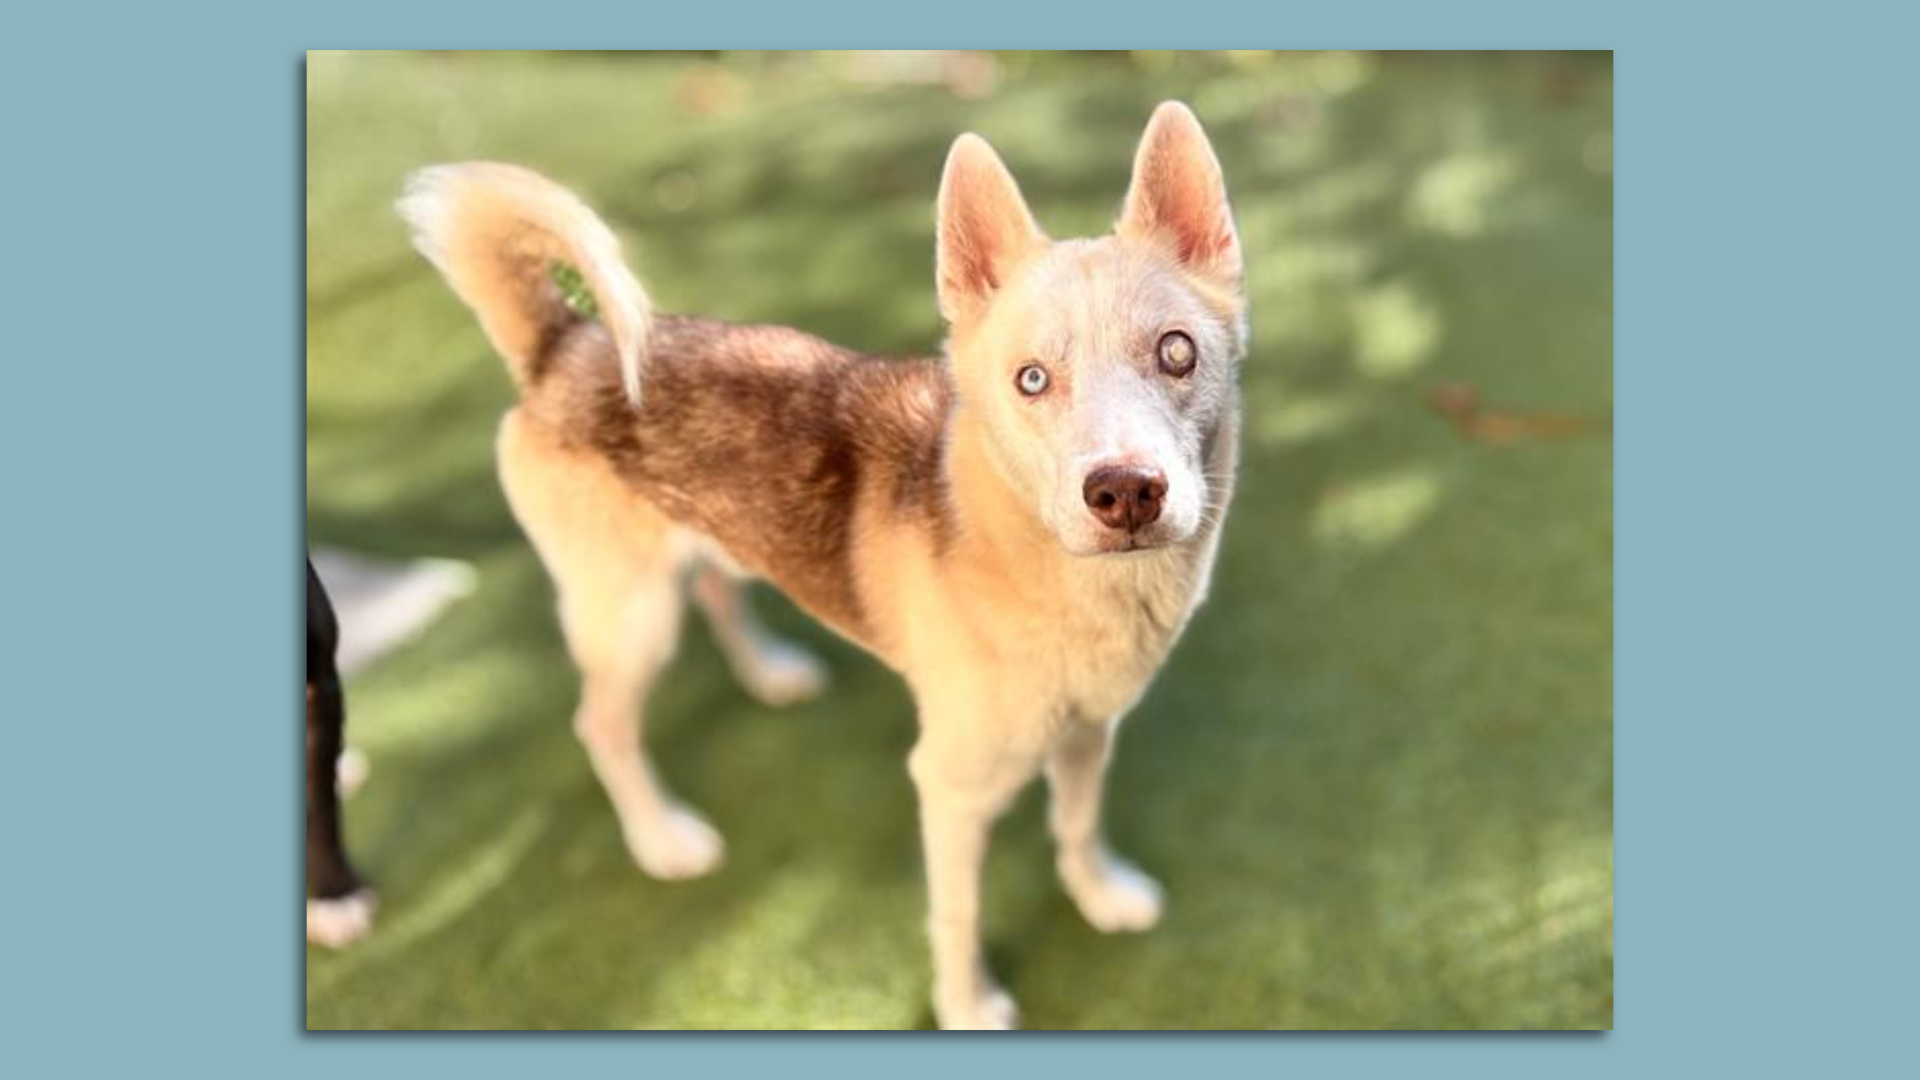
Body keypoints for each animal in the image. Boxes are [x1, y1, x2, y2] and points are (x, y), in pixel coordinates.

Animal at [399, 102, 1251, 1022]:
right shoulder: (949, 787)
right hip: (631, 617)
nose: (1126, 492)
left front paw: (1099, 896)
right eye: (1031, 380)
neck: (1049, 570)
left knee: (717, 585)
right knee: (602, 724)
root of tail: (566, 344)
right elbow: (958, 912)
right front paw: (966, 1008)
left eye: (1176, 353)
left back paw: (769, 674)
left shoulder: (1090, 733)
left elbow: (1079, 825)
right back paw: (662, 838)